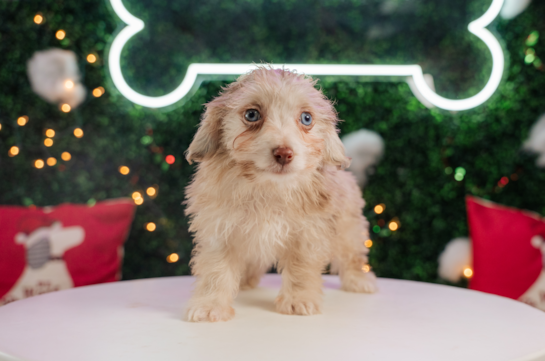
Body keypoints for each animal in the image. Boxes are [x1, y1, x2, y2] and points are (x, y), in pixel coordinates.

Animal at [185, 65, 376, 320]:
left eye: (306, 118)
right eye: (252, 115)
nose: (284, 153)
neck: (269, 188)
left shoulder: (307, 233)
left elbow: (301, 268)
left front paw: (298, 300)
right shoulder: (219, 229)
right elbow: (215, 270)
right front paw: (209, 305)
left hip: (349, 227)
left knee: (352, 254)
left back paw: (358, 279)